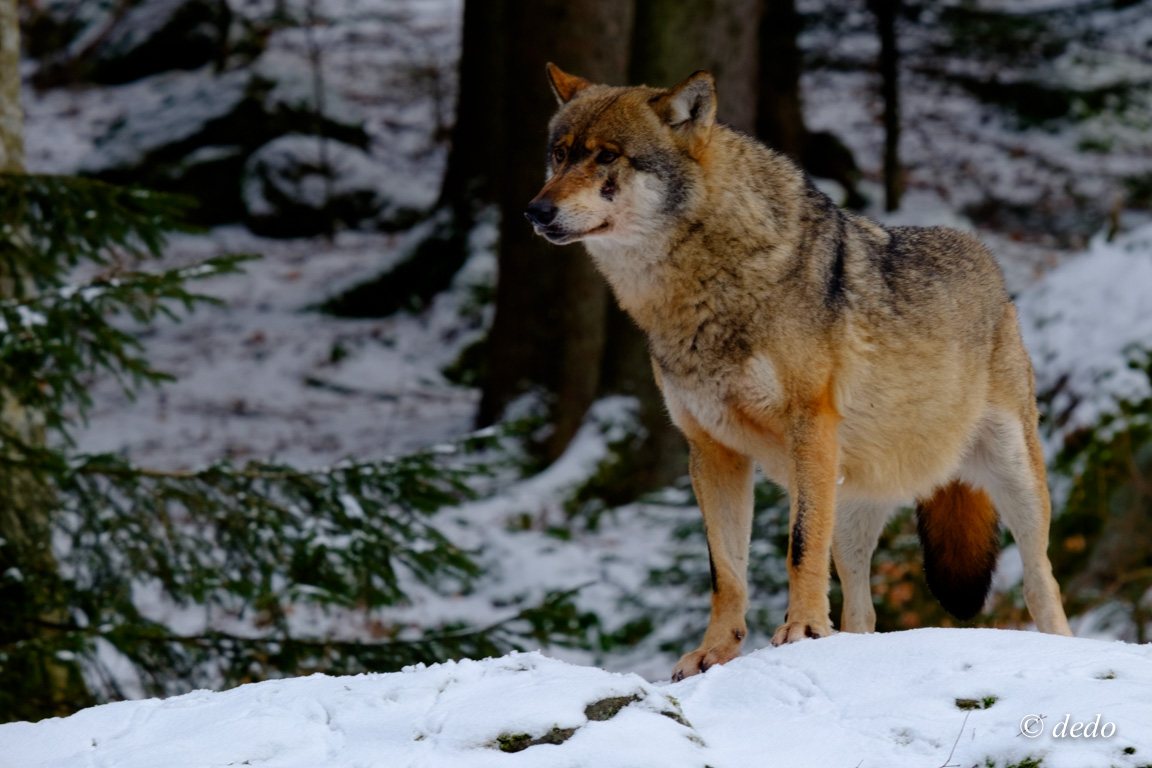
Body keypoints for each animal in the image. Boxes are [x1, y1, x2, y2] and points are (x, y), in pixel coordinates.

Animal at [525, 64, 1073, 681]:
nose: (535, 211)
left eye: (606, 157)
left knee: (1042, 584)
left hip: (1013, 477)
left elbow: (797, 546)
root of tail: (989, 263)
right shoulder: (710, 450)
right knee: (862, 610)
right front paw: (715, 652)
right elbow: (725, 572)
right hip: (852, 507)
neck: (703, 286)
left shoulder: (807, 426)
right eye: (560, 155)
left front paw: (802, 630)